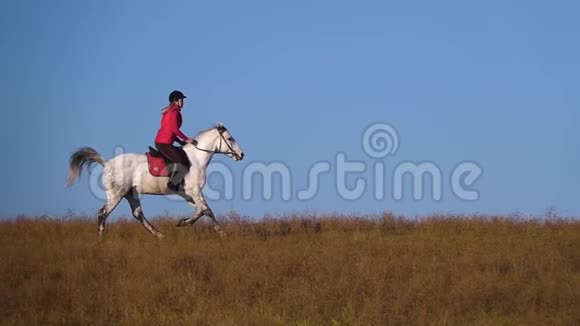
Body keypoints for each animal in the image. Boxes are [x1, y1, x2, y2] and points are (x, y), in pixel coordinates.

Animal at [65, 123, 242, 238]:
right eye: (230, 139)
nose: (241, 155)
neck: (196, 158)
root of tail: (107, 163)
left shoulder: (188, 194)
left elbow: (203, 210)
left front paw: (188, 223)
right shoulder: (194, 191)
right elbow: (205, 210)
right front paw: (187, 224)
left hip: (131, 194)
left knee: (138, 215)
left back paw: (159, 235)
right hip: (116, 194)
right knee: (102, 214)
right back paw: (101, 239)